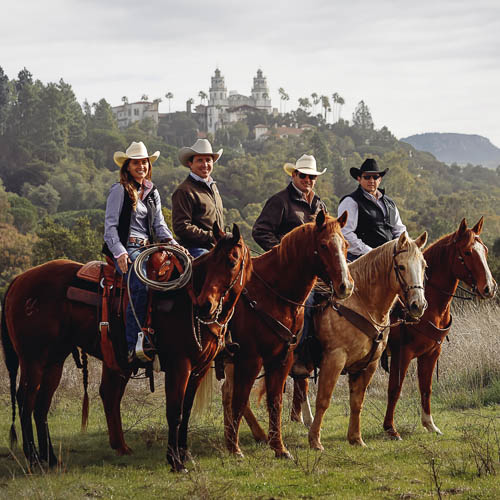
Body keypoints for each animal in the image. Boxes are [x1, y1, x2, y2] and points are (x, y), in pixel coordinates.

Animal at [0, 225, 250, 470]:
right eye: (214, 260)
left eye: (231, 262)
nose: (206, 305)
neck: (185, 299)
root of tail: (19, 279)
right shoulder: (179, 366)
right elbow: (175, 412)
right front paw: (176, 461)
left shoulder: (199, 368)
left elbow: (186, 411)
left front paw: (185, 454)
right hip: (32, 360)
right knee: (26, 400)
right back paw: (33, 458)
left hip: (54, 360)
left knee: (42, 404)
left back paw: (50, 459)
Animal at [221, 209, 354, 458]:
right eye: (323, 245)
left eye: (346, 244)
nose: (346, 286)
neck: (271, 294)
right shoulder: (251, 359)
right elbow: (241, 399)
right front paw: (234, 448)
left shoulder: (282, 358)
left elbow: (275, 401)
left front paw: (279, 447)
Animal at [382, 217, 496, 440]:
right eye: (467, 252)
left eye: (485, 250)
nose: (489, 288)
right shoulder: (402, 354)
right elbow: (395, 389)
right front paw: (390, 429)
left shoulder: (431, 352)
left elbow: (426, 387)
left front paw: (430, 424)